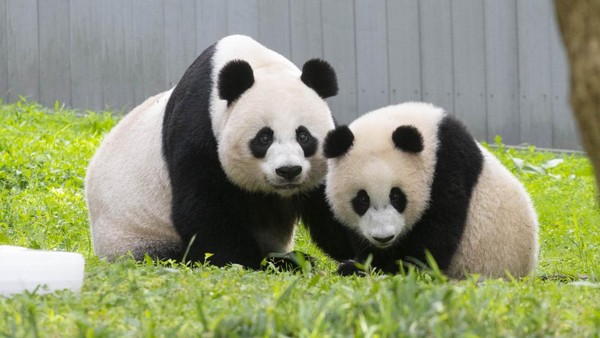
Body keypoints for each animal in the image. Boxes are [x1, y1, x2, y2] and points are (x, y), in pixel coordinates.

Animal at [84, 35, 338, 270]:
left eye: (303, 136)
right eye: (264, 138)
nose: (288, 171)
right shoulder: (198, 129)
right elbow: (204, 207)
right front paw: (251, 263)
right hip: (134, 236)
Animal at [318, 101, 540, 278]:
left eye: (397, 196)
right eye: (362, 199)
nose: (383, 238)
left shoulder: (447, 163)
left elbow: (436, 237)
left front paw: (396, 269)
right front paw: (363, 264)